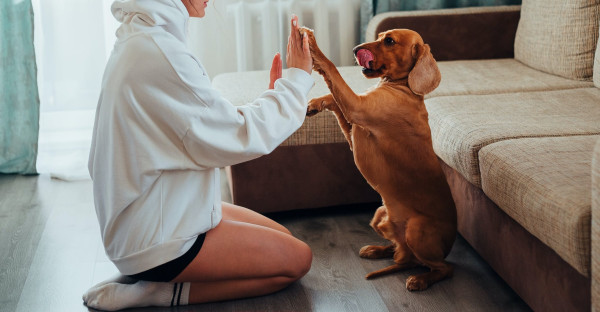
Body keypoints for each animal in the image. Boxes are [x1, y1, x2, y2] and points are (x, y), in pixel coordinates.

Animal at [302, 28, 458, 292]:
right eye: (380, 35)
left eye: (389, 41)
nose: (356, 49)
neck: (403, 87)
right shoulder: (354, 125)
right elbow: (333, 98)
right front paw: (314, 103)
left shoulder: (357, 107)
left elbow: (332, 70)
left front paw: (313, 46)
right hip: (379, 214)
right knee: (400, 250)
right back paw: (377, 250)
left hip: (416, 230)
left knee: (443, 268)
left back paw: (420, 280)